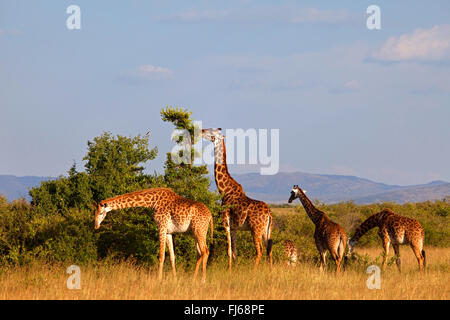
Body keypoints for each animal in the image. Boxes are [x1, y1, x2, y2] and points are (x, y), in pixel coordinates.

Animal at [201, 127, 272, 270]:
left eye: (212, 132)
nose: (201, 130)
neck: (224, 190)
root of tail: (269, 213)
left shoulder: (225, 222)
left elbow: (228, 251)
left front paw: (229, 271)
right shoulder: (234, 227)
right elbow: (234, 252)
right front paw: (233, 269)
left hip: (256, 229)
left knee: (260, 250)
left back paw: (254, 271)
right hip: (266, 231)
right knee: (269, 250)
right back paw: (271, 271)